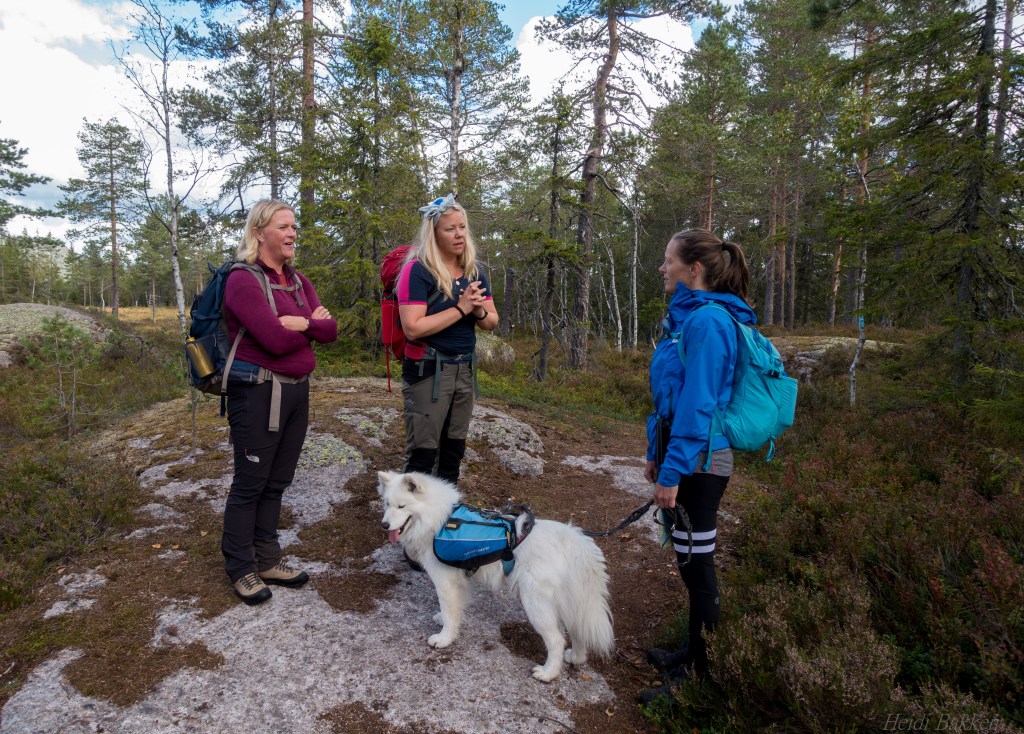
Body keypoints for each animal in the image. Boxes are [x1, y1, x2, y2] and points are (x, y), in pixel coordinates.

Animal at [377, 470, 614, 682]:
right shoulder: (459, 581)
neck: (438, 520)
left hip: (535, 603)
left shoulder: (445, 582)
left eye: (402, 506)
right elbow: (453, 611)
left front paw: (444, 639)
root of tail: (575, 540)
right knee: (576, 629)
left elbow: (450, 612)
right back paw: (576, 657)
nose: (384, 525)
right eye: (387, 504)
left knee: (556, 640)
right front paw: (443, 621)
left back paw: (548, 674)